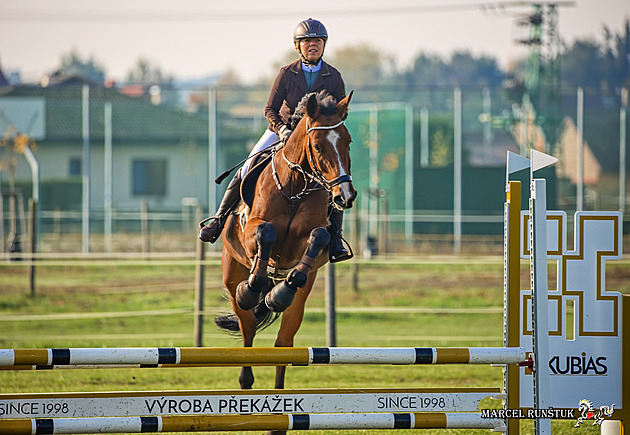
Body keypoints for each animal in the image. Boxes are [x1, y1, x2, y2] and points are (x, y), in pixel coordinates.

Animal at [216, 90, 356, 428]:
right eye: (317, 146)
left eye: (348, 142)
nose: (345, 196)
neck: (294, 186)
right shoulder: (253, 229)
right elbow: (265, 234)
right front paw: (254, 286)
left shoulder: (310, 240)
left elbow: (319, 238)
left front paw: (281, 290)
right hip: (232, 276)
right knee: (248, 332)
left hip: (299, 306)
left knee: (283, 346)